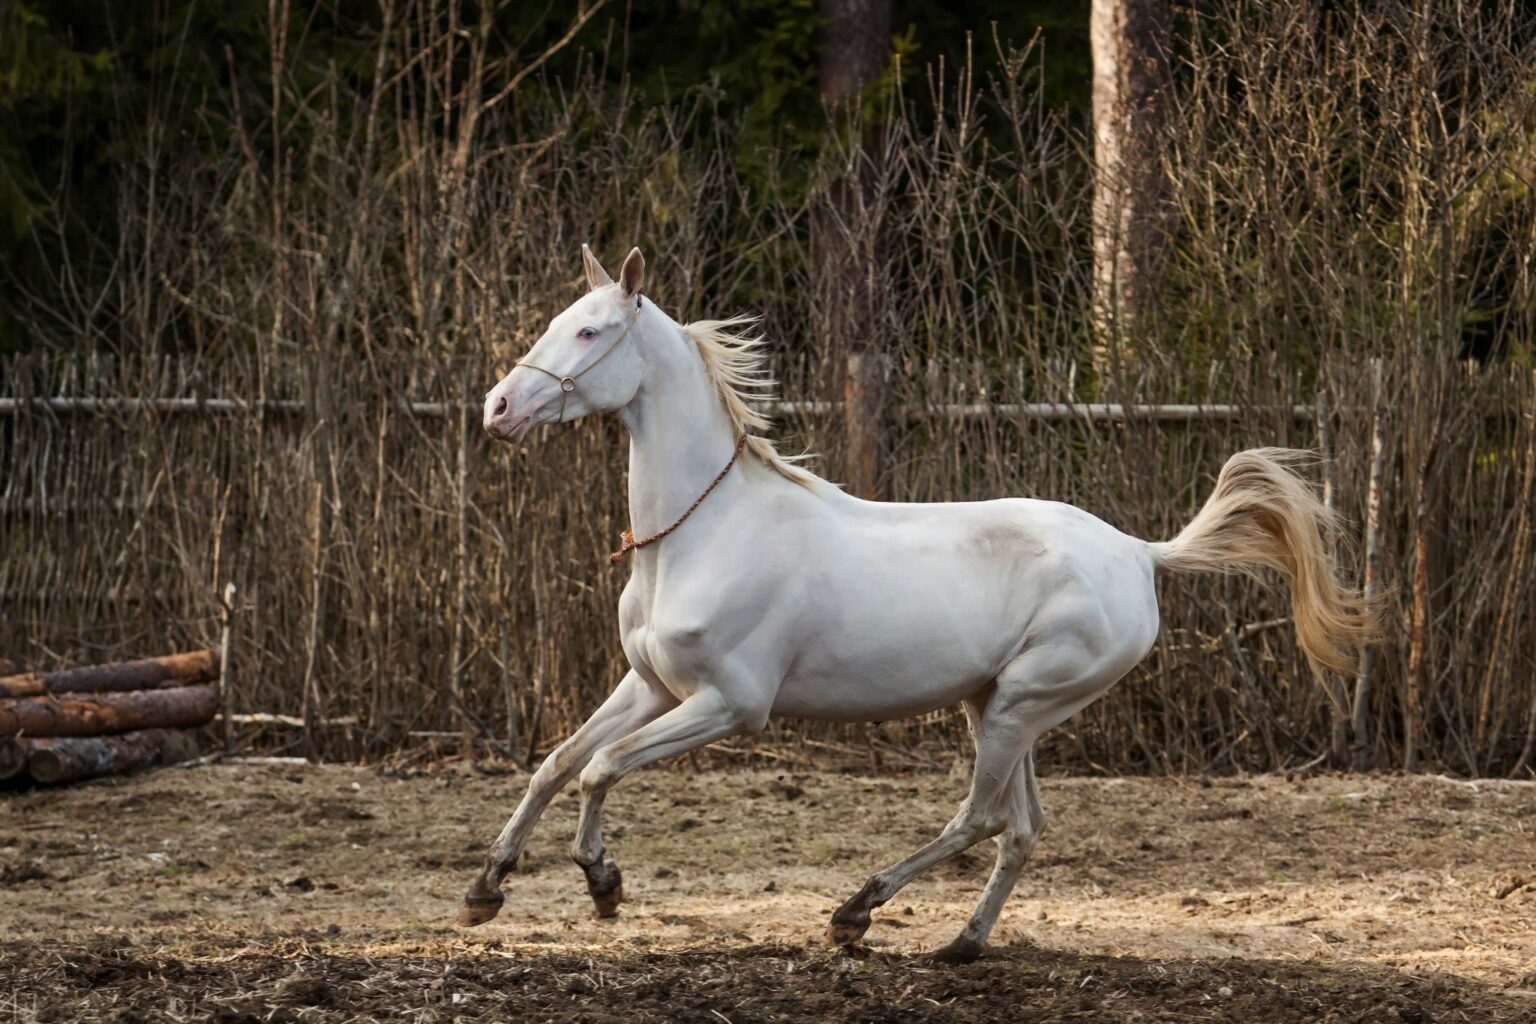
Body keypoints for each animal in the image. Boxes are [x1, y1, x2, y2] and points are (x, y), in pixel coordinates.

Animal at [464, 244, 1370, 962]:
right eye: (559, 320)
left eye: (590, 332)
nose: (497, 409)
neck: (704, 533)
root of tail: (1141, 554)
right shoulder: (652, 685)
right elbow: (558, 762)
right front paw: (487, 889)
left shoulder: (730, 706)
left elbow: (604, 767)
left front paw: (604, 883)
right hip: (1002, 706)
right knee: (1023, 827)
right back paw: (961, 945)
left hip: (1019, 706)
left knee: (978, 820)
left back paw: (856, 913)